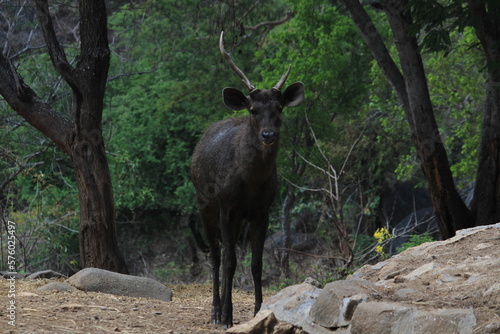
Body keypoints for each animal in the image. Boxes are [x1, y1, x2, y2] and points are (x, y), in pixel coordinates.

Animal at [189, 32, 302, 328]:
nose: (268, 134)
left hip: (237, 218)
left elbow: (256, 264)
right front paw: (226, 316)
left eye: (279, 108)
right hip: (205, 204)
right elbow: (229, 262)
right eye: (253, 109)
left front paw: (258, 310)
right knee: (216, 256)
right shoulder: (226, 207)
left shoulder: (262, 211)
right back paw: (216, 311)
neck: (250, 183)